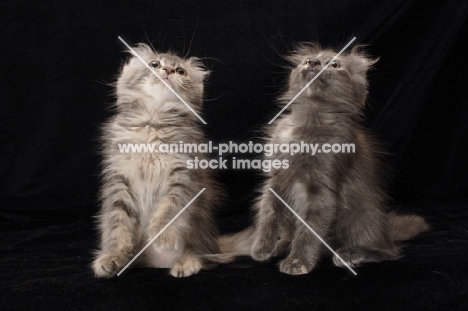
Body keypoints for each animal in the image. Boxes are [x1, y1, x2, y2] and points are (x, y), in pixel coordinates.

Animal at [93, 43, 223, 278]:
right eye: (154, 64)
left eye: (181, 71)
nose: (169, 71)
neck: (153, 123)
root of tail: (154, 262)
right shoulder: (118, 178)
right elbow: (118, 221)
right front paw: (114, 255)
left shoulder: (184, 177)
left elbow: (168, 210)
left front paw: (161, 236)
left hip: (199, 229)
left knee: (204, 255)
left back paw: (186, 262)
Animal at [222, 43, 428, 276]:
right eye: (307, 60)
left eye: (334, 65)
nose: (312, 62)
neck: (308, 123)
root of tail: (386, 231)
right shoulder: (276, 179)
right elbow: (268, 212)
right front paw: (262, 246)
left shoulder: (321, 189)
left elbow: (308, 230)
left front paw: (298, 261)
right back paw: (282, 245)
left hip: (360, 215)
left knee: (386, 250)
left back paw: (350, 254)